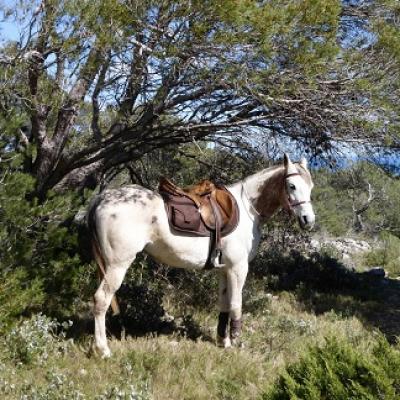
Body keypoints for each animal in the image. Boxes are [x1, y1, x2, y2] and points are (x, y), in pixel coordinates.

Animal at [87, 153, 316, 356]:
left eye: (311, 187)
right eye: (292, 186)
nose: (308, 220)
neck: (247, 209)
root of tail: (102, 198)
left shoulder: (224, 270)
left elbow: (224, 305)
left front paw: (224, 341)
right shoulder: (238, 268)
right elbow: (236, 304)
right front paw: (236, 341)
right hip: (117, 265)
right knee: (101, 300)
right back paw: (103, 350)